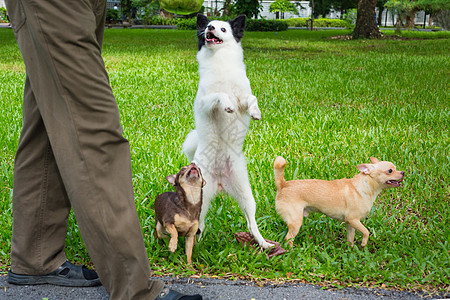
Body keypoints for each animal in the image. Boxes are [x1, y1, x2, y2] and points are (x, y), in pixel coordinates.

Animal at [183, 13, 274, 248]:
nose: (210, 28)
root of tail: (220, 183)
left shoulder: (243, 97)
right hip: (199, 197)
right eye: (207, 26)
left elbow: (251, 98)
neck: (220, 61)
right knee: (198, 224)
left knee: (251, 223)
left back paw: (264, 244)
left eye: (223, 29)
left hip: (246, 195)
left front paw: (256, 112)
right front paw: (227, 104)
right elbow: (220, 95)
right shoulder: (206, 104)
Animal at [274, 157, 404, 246]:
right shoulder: (353, 220)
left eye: (396, 168)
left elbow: (350, 238)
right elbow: (366, 231)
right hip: (296, 221)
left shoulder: (351, 223)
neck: (366, 185)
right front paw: (363, 243)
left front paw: (351, 250)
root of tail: (283, 185)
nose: (402, 172)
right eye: (390, 171)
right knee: (288, 238)